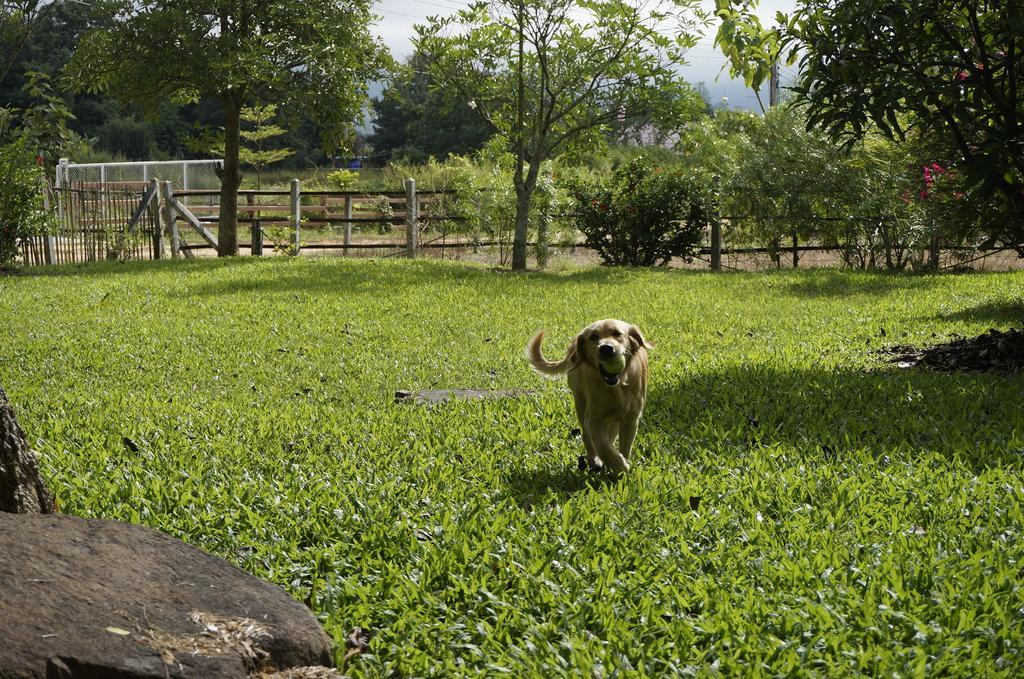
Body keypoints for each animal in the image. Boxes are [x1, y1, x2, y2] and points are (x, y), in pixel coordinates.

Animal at [528, 319, 647, 473]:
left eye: (617, 334)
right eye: (593, 337)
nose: (606, 348)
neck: (616, 388)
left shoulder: (631, 419)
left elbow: (624, 446)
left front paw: (622, 464)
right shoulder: (593, 419)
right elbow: (602, 446)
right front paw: (619, 465)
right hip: (580, 401)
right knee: (587, 436)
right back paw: (594, 460)